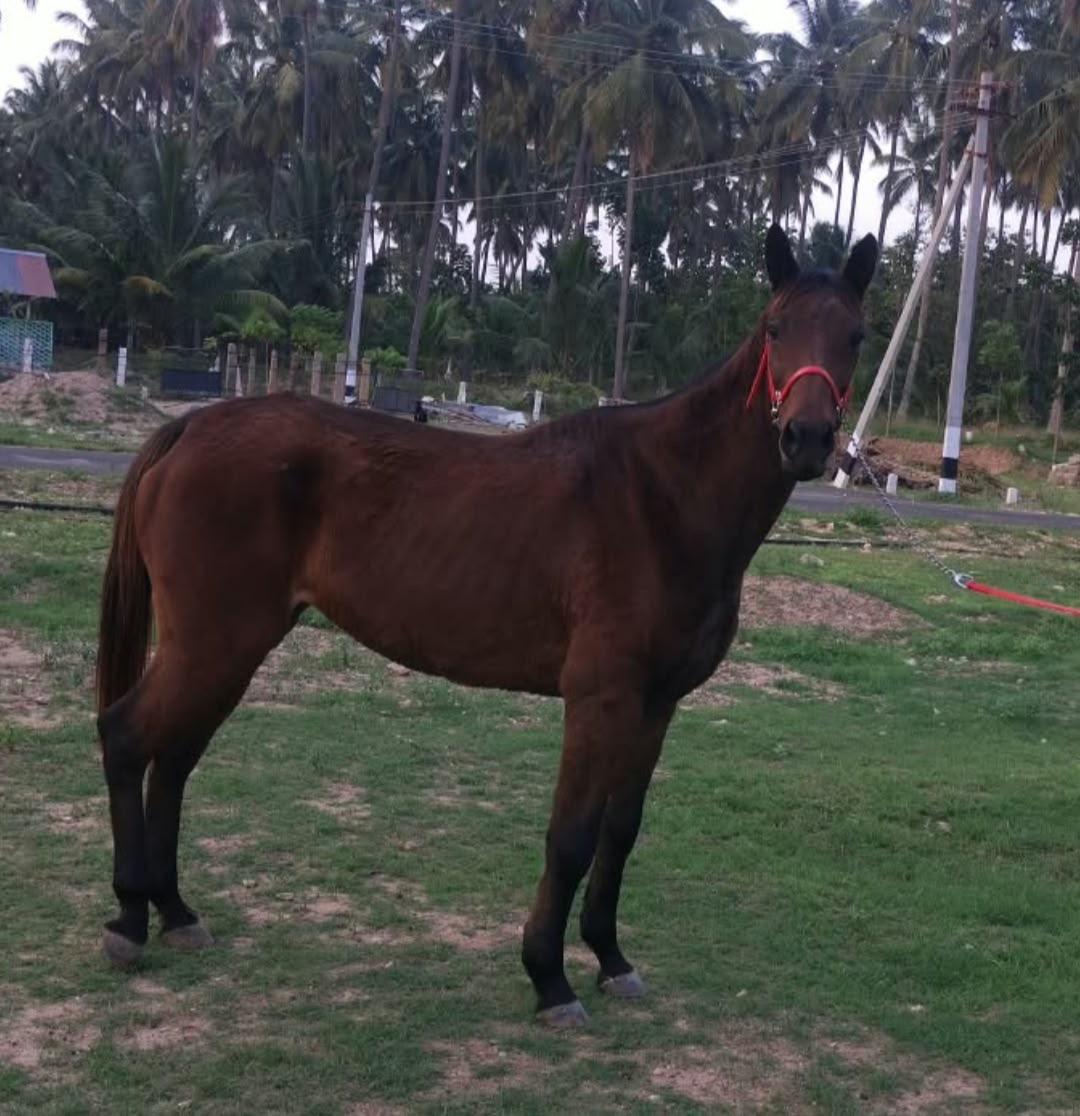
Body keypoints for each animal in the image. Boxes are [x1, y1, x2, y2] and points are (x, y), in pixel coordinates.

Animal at [95, 225, 877, 1026]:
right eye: (776, 328)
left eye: (856, 334)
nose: (807, 437)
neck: (663, 496)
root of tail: (191, 425)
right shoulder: (600, 699)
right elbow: (571, 838)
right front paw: (550, 978)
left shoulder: (657, 705)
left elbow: (620, 833)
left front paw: (610, 958)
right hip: (213, 644)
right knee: (126, 737)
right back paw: (128, 920)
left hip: (226, 649)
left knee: (174, 759)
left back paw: (176, 912)